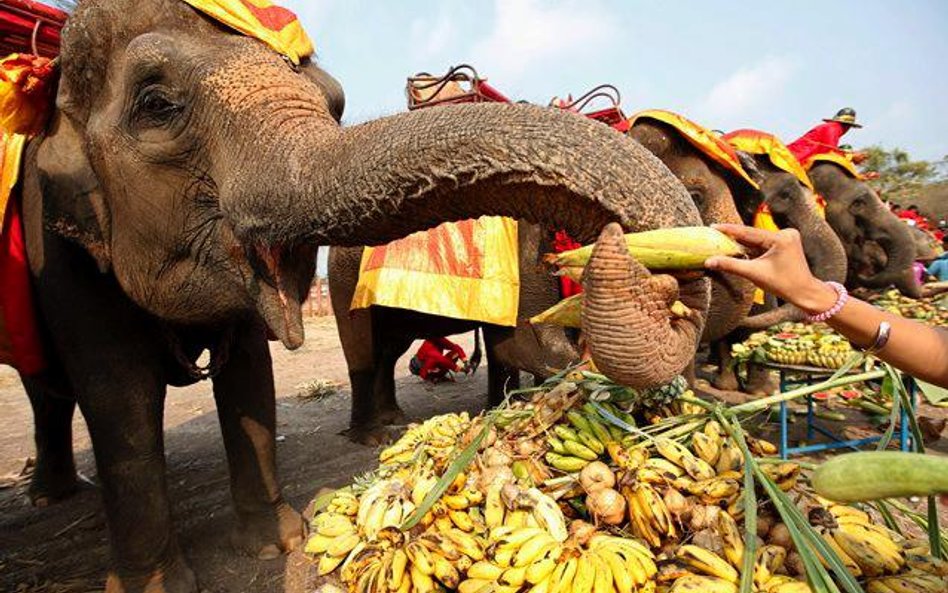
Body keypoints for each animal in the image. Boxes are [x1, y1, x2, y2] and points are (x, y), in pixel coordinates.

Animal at [12, 0, 712, 588]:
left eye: (335, 100)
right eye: (156, 105)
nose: (664, 283)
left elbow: (249, 372)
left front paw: (276, 546)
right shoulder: (54, 238)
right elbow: (119, 396)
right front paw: (166, 583)